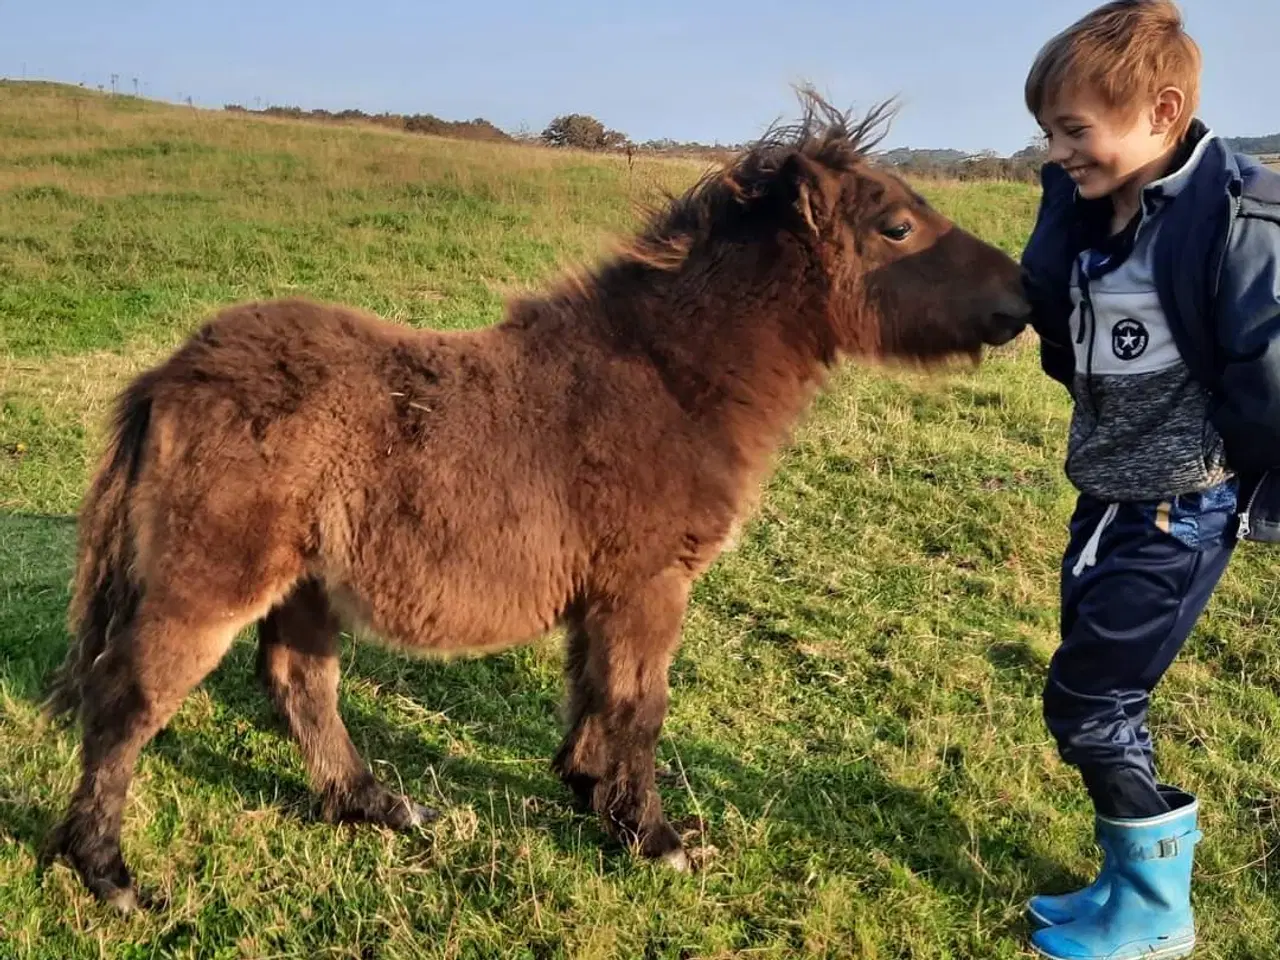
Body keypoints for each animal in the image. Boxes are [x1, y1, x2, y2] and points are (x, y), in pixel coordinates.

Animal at [40, 94, 1029, 911]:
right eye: (897, 226)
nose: (1023, 296)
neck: (669, 381)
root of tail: (173, 374)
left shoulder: (606, 591)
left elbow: (593, 692)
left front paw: (592, 797)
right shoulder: (648, 584)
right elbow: (640, 705)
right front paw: (657, 839)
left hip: (304, 586)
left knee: (299, 686)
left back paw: (376, 806)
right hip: (211, 583)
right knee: (129, 699)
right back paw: (108, 875)